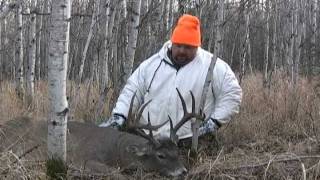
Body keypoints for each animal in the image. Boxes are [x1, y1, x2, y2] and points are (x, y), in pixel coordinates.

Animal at [0, 89, 204, 176]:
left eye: (177, 152)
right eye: (161, 155)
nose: (183, 171)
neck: (117, 150)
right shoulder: (85, 161)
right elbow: (118, 174)